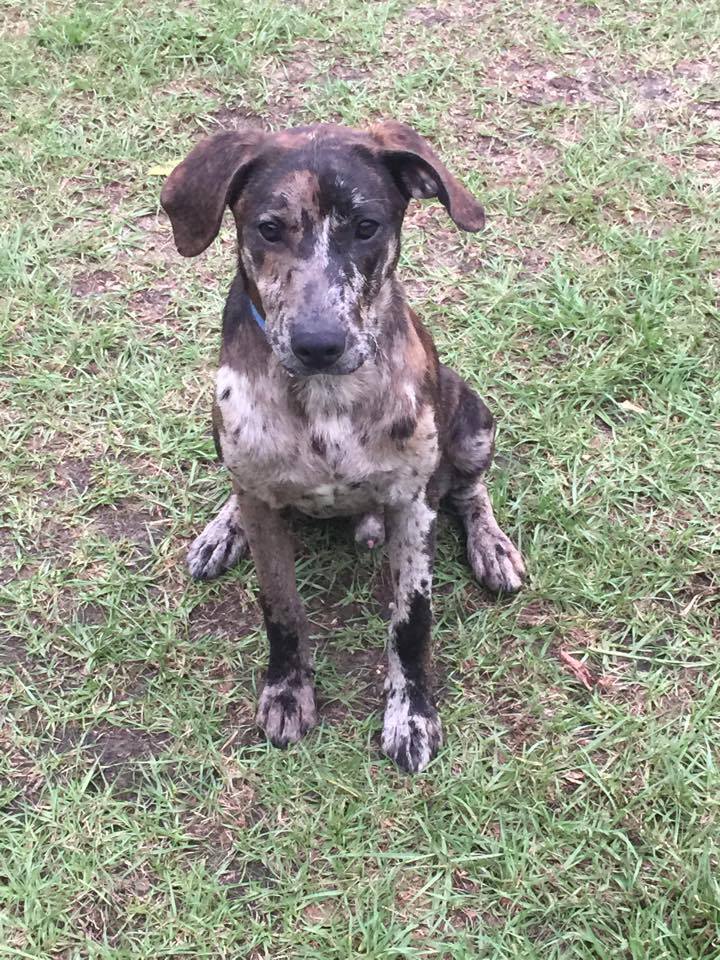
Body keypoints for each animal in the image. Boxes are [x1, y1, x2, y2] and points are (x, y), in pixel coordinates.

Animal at [162, 120, 524, 772]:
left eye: (367, 226)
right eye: (269, 228)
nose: (318, 345)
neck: (326, 398)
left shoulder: (412, 506)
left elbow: (411, 621)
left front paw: (411, 714)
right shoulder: (263, 505)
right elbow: (281, 609)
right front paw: (288, 690)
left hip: (471, 416)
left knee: (469, 489)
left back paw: (492, 546)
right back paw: (223, 529)